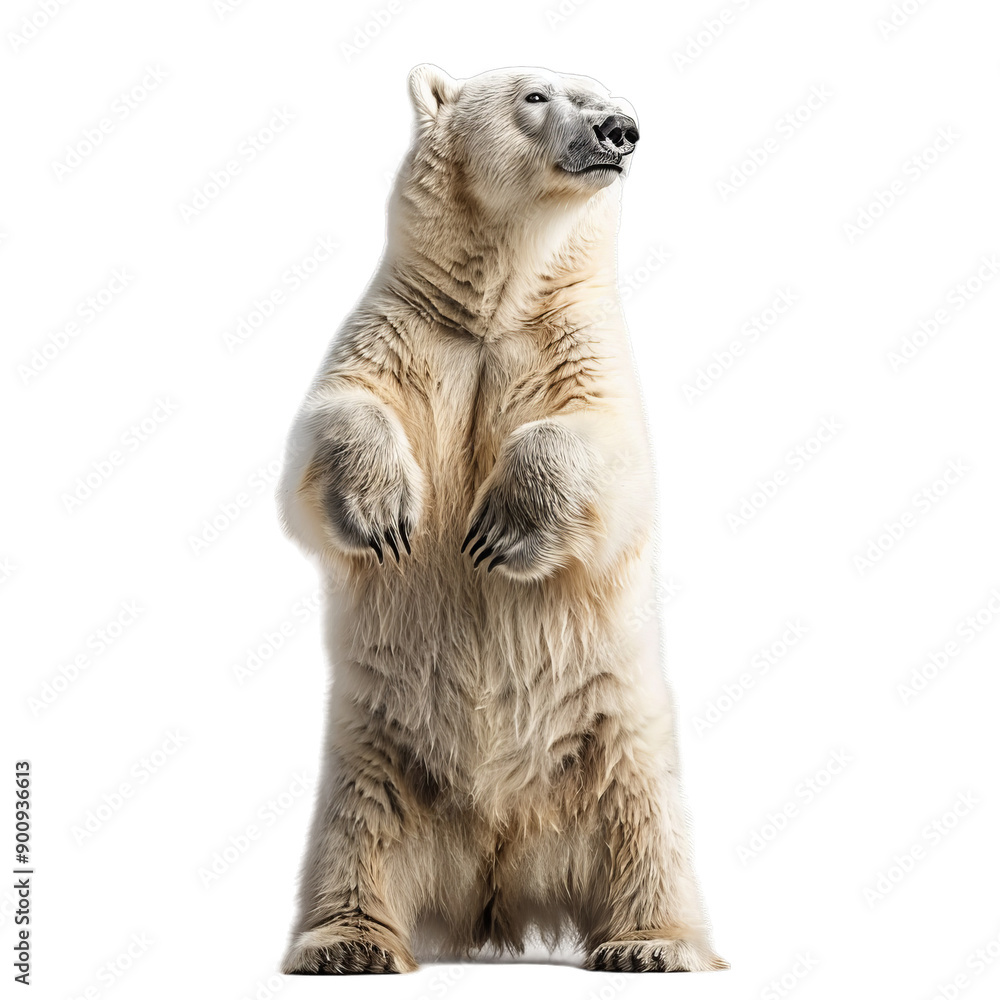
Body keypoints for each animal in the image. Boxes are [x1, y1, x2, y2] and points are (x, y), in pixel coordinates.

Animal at [276, 63, 726, 975]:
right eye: (537, 95)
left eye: (607, 94)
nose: (621, 130)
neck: (496, 305)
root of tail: (499, 881)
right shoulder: (406, 330)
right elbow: (334, 416)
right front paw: (388, 518)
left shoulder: (572, 339)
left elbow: (607, 447)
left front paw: (494, 532)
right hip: (374, 749)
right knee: (355, 834)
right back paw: (347, 942)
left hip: (616, 741)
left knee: (647, 833)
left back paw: (651, 943)